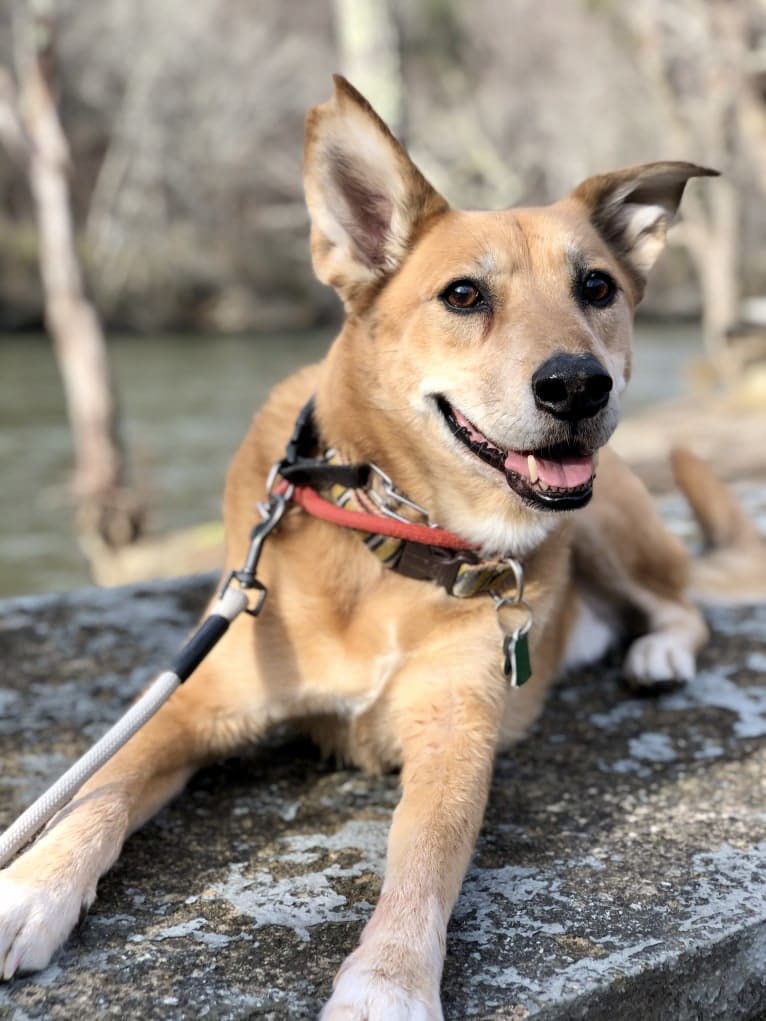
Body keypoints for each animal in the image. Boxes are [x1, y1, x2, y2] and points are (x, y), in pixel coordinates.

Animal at [0, 79, 751, 1021]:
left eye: (597, 286)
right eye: (463, 295)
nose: (578, 384)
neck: (394, 530)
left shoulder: (456, 736)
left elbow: (426, 860)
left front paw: (387, 981)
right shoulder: (190, 704)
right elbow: (99, 788)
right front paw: (31, 888)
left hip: (609, 523)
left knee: (683, 607)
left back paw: (656, 655)